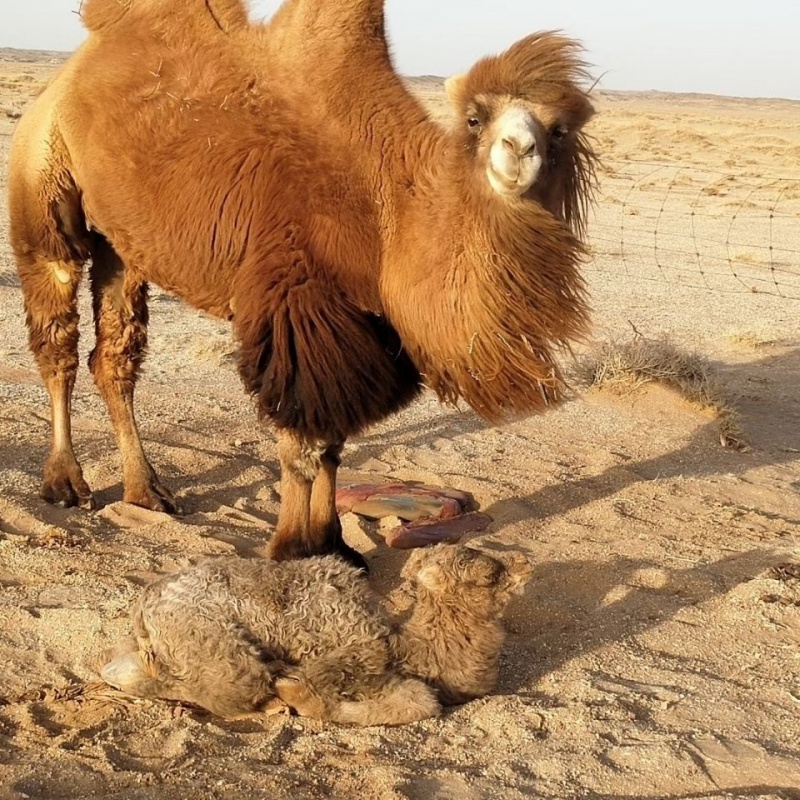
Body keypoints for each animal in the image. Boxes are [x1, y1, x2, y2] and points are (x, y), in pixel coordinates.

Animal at [6, 0, 592, 564]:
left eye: (560, 129)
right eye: (474, 118)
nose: (519, 149)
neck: (388, 203)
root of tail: (61, 82)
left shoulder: (366, 323)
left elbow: (334, 442)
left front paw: (335, 545)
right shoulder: (296, 306)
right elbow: (301, 444)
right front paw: (292, 546)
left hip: (123, 242)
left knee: (114, 358)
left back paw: (146, 490)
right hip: (43, 184)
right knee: (58, 340)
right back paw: (65, 482)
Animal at [101, 544, 532, 724]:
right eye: (488, 573)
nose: (524, 563)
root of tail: (145, 603)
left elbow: (416, 701)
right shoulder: (361, 653)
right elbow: (418, 702)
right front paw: (294, 694)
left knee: (121, 668)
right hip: (212, 641)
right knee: (214, 688)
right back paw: (271, 697)